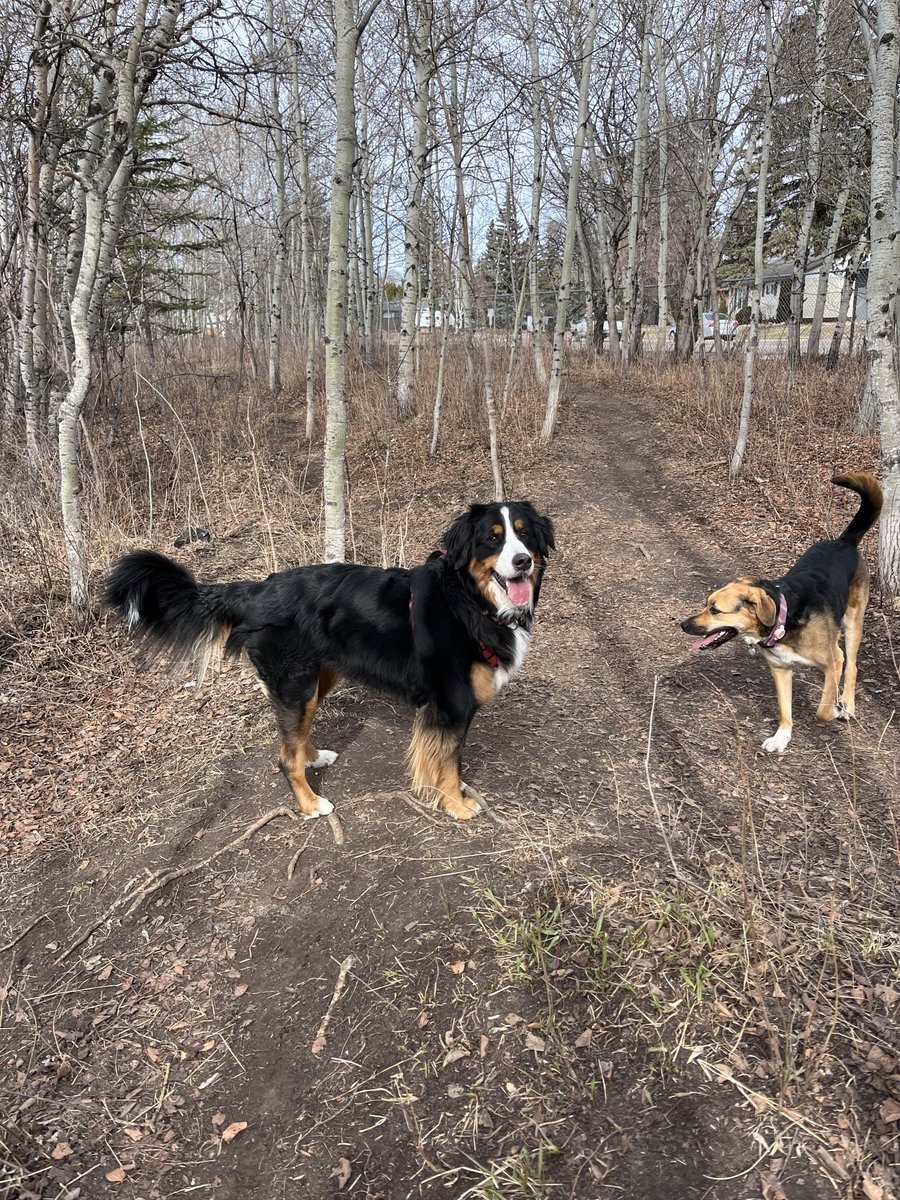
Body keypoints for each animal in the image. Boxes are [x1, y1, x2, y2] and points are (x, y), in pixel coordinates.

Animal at [105, 501, 556, 820]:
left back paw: (313, 756)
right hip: (297, 683)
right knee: (285, 757)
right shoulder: (450, 705)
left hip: (316, 680)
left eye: (524, 536)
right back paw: (310, 804)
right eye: (492, 539)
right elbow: (448, 764)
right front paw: (456, 805)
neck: (468, 602)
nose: (522, 561)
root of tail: (256, 590)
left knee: (293, 738)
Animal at [681, 472, 883, 753]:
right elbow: (784, 711)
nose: (684, 624)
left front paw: (834, 709)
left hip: (853, 623)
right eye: (706, 604)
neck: (784, 621)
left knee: (851, 666)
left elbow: (822, 710)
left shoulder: (832, 662)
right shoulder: (780, 669)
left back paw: (847, 705)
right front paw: (781, 737)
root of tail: (844, 541)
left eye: (715, 610)